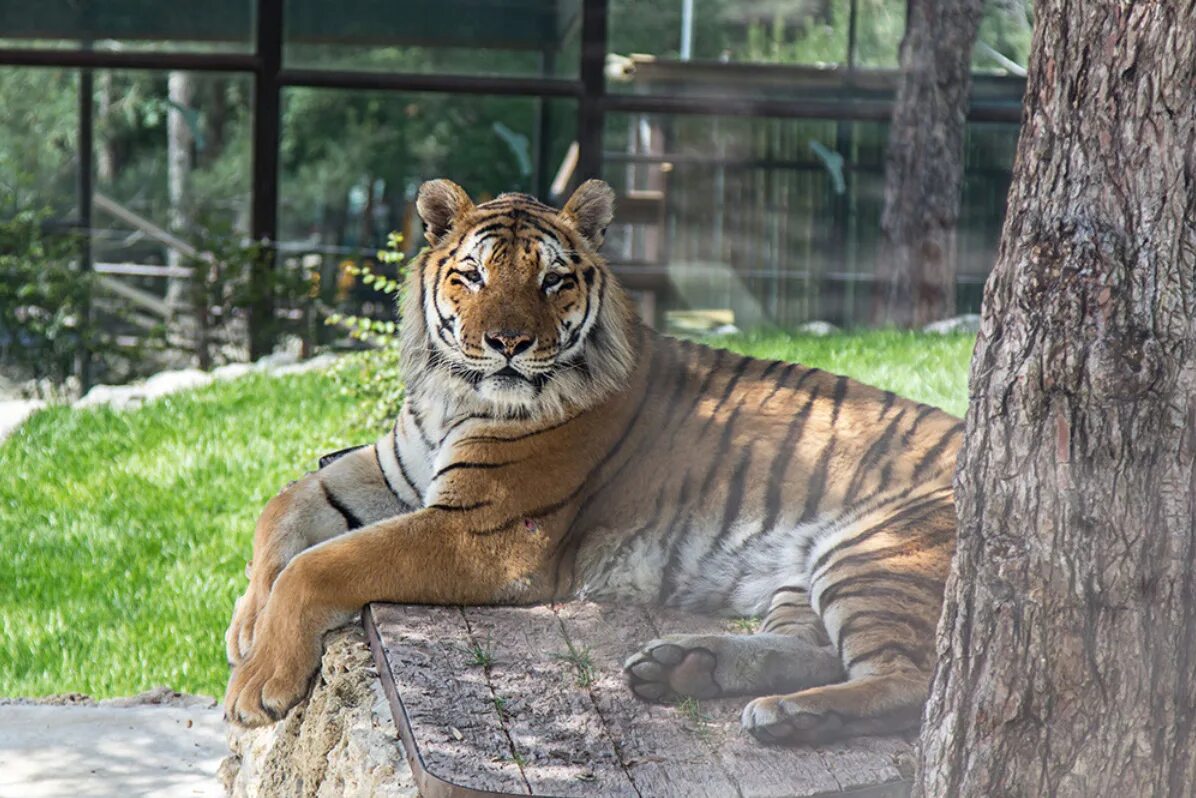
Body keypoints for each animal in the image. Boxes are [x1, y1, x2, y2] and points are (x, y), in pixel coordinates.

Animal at [226, 178, 961, 746]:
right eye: (473, 276)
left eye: (552, 281)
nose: (508, 344)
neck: (450, 395)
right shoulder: (390, 468)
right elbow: (281, 508)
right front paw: (245, 627)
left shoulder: (485, 533)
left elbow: (320, 565)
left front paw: (255, 685)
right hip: (803, 574)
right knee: (815, 651)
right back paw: (689, 669)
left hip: (875, 550)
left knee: (911, 685)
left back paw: (794, 717)